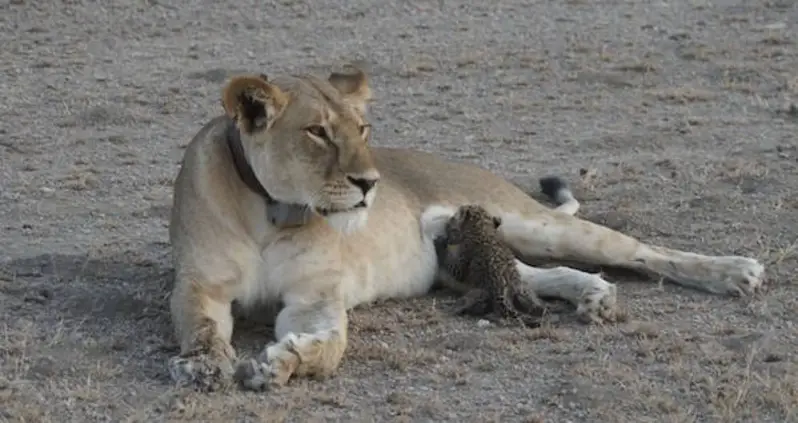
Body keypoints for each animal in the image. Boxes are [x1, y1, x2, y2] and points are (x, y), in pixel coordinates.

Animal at [166, 66, 765, 392]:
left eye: (363, 128)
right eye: (316, 132)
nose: (370, 183)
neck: (273, 211)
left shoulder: (315, 298)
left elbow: (330, 345)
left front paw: (283, 363)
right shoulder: (198, 285)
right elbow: (201, 327)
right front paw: (204, 367)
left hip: (530, 222)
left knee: (639, 249)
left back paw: (735, 272)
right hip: (464, 256)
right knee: (533, 275)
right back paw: (594, 296)